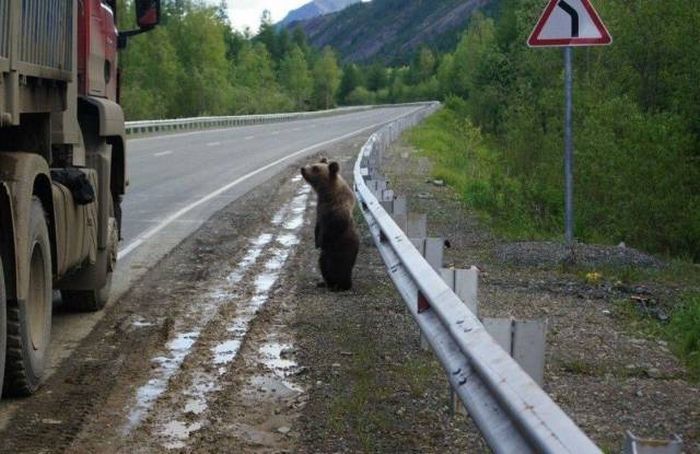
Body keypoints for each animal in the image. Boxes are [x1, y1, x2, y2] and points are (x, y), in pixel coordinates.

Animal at [300, 157, 358, 290]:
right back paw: (324, 283)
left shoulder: (337, 213)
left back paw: (340, 285)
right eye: (314, 164)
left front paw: (321, 241)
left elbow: (332, 229)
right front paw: (316, 243)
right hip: (325, 257)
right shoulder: (320, 210)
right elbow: (317, 226)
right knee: (323, 266)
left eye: (315, 168)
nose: (303, 168)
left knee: (338, 268)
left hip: (340, 255)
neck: (327, 194)